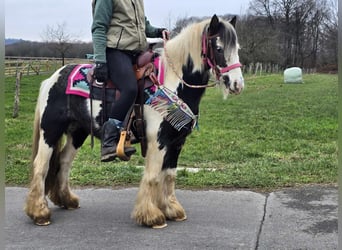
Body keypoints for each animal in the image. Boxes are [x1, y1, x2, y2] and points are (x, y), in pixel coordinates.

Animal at [24, 14, 243, 228]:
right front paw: (151, 216)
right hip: (50, 131)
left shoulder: (177, 141)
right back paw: (39, 213)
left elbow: (169, 175)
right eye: (219, 48)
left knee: (64, 161)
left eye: (237, 48)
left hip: (78, 132)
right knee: (41, 165)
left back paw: (67, 200)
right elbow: (153, 176)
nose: (237, 84)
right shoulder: (158, 141)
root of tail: (53, 78)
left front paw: (172, 209)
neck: (170, 83)